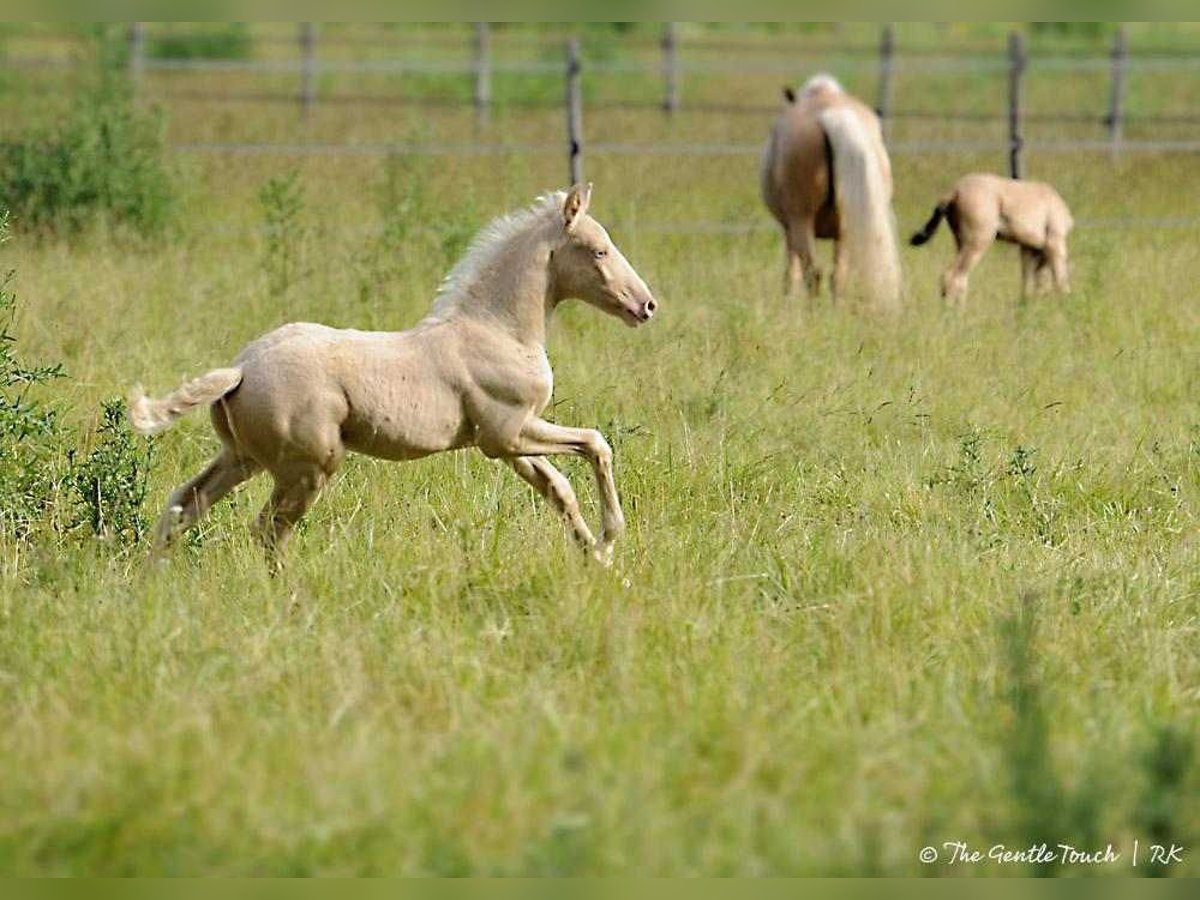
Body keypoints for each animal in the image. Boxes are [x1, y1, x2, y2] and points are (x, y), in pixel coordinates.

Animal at [130, 184, 657, 571]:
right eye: (598, 251)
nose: (646, 305)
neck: (497, 328)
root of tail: (240, 369)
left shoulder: (510, 443)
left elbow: (559, 489)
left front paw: (599, 559)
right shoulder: (507, 433)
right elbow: (596, 443)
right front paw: (612, 537)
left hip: (242, 458)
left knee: (182, 506)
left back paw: (152, 581)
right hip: (308, 466)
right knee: (267, 529)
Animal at [758, 72, 902, 309]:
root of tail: (832, 114)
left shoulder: (788, 228)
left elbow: (791, 274)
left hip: (801, 221)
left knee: (813, 273)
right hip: (846, 228)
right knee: (838, 277)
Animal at [912, 172, 1075, 303]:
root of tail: (954, 192)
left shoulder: (1030, 248)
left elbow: (1031, 283)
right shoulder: (1054, 241)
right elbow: (1060, 280)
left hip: (961, 242)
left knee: (961, 278)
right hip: (978, 241)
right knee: (953, 275)